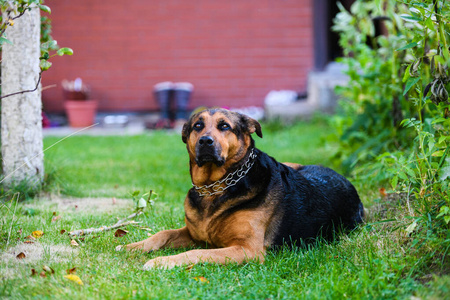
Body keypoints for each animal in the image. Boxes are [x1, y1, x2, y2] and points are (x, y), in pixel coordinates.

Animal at [120, 108, 366, 270]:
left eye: (224, 126)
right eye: (197, 126)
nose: (205, 141)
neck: (215, 187)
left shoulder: (246, 249)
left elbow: (196, 252)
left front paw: (162, 261)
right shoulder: (194, 234)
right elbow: (162, 233)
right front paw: (133, 246)